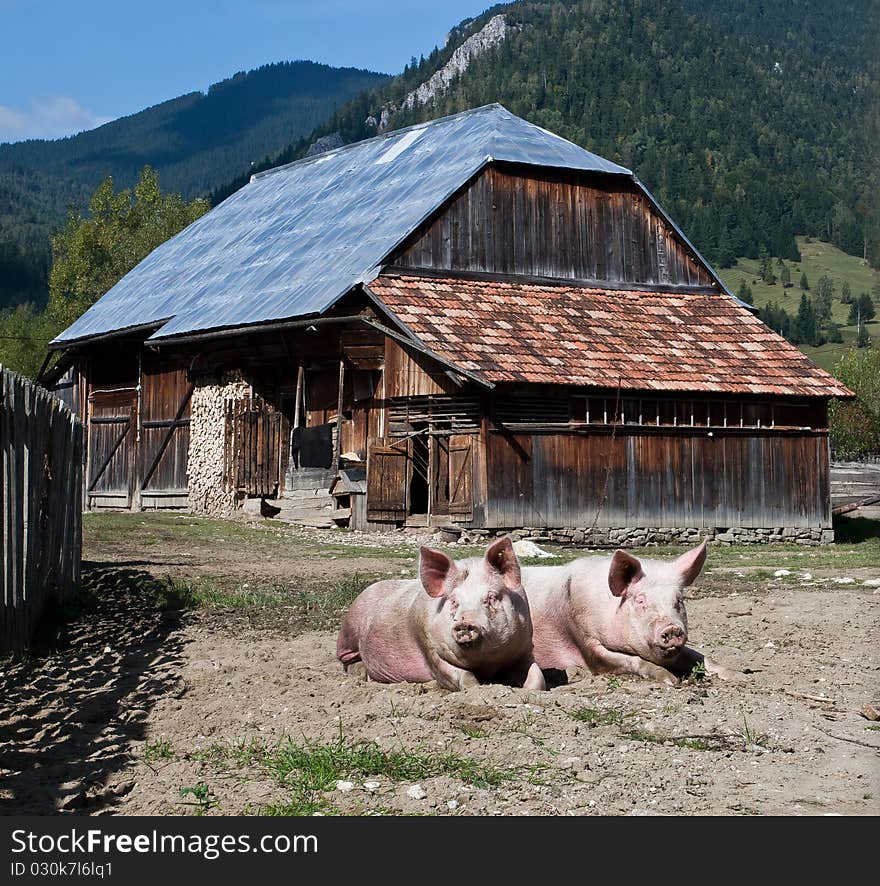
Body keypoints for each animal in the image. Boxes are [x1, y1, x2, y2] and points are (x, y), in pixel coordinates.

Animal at [336, 536, 544, 692]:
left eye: (491, 597)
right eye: (453, 601)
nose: (465, 622)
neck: (486, 665)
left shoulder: (524, 647)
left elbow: (538, 679)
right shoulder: (428, 647)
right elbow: (465, 678)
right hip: (349, 632)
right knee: (347, 661)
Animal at [524, 540, 744, 688]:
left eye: (679, 600)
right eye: (640, 600)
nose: (672, 628)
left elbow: (701, 657)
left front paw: (739, 676)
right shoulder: (585, 641)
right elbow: (630, 660)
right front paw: (671, 680)